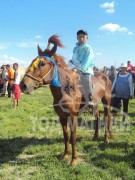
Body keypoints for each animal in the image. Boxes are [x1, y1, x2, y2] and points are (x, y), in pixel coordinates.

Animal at [20, 34, 113, 165]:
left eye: (42, 64)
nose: (23, 85)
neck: (66, 90)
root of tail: (106, 76)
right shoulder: (62, 116)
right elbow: (66, 136)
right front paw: (65, 155)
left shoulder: (73, 116)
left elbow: (73, 138)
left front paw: (73, 160)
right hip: (95, 104)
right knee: (98, 117)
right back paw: (95, 137)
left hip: (106, 102)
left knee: (107, 117)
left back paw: (106, 139)